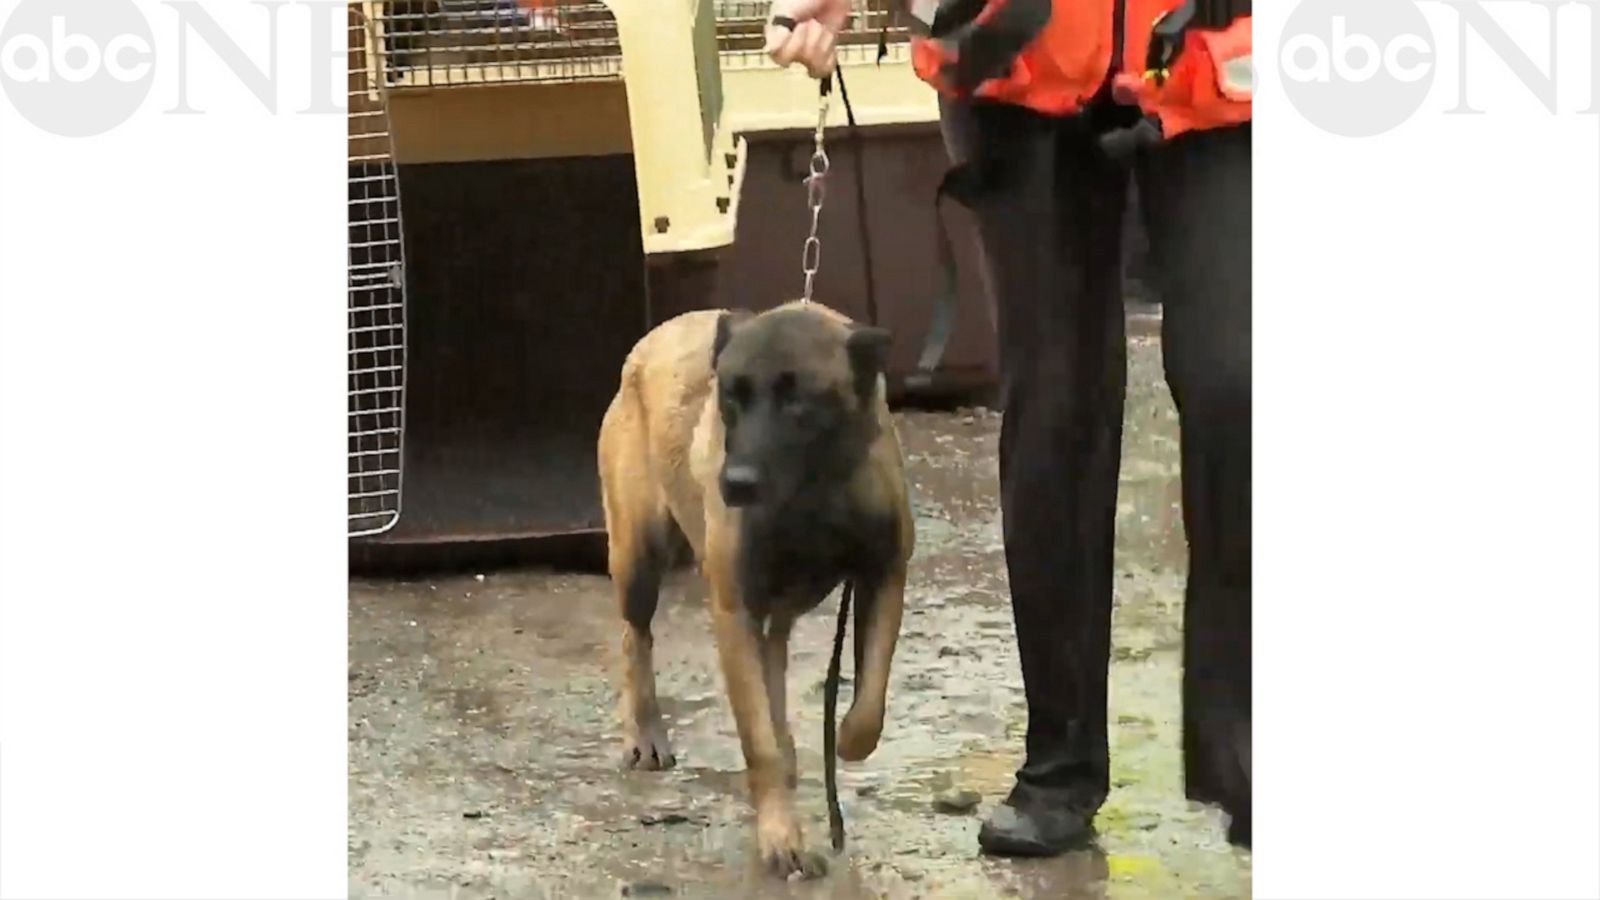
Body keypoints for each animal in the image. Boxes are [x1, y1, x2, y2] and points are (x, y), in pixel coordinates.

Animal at [595, 297, 915, 871]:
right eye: (730, 395)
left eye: (798, 400)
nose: (736, 483)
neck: (813, 492)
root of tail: (649, 341)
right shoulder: (734, 610)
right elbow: (757, 741)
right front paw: (781, 837)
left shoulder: (885, 577)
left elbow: (869, 703)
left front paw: (845, 742)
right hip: (639, 558)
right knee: (637, 637)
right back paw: (646, 731)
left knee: (774, 669)